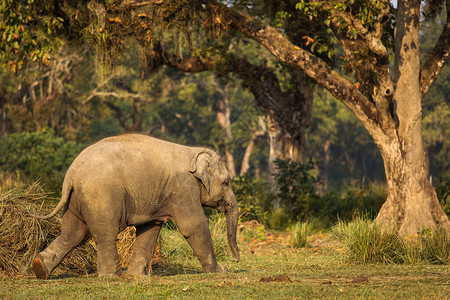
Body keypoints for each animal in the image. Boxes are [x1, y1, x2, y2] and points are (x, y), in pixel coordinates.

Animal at [30, 134, 239, 278]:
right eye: (227, 182)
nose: (236, 261)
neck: (192, 151)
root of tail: (71, 172)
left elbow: (150, 229)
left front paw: (137, 276)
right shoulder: (183, 188)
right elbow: (193, 226)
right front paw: (221, 271)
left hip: (75, 199)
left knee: (73, 234)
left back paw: (40, 268)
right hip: (101, 196)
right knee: (105, 233)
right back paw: (114, 276)